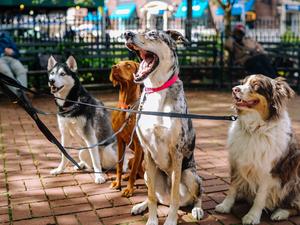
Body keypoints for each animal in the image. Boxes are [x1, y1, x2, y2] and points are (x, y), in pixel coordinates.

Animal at [109, 59, 144, 197]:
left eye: (128, 65)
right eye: (117, 63)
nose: (114, 67)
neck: (127, 107)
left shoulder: (139, 144)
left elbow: (134, 171)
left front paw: (129, 189)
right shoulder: (119, 140)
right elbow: (119, 165)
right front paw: (117, 183)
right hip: (131, 159)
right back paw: (126, 176)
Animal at [124, 30, 204, 225]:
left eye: (152, 34)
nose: (127, 33)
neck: (157, 90)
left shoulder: (176, 152)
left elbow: (175, 196)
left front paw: (171, 221)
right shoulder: (147, 152)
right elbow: (151, 196)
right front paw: (152, 220)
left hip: (190, 175)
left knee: (197, 195)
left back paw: (197, 209)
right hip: (146, 172)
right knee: (157, 197)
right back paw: (140, 206)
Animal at [216, 74, 300, 224]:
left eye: (256, 86)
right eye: (243, 82)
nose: (234, 89)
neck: (254, 130)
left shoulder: (268, 172)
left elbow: (260, 197)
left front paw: (252, 216)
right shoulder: (236, 162)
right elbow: (232, 187)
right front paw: (225, 205)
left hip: (293, 182)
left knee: (295, 206)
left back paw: (280, 213)